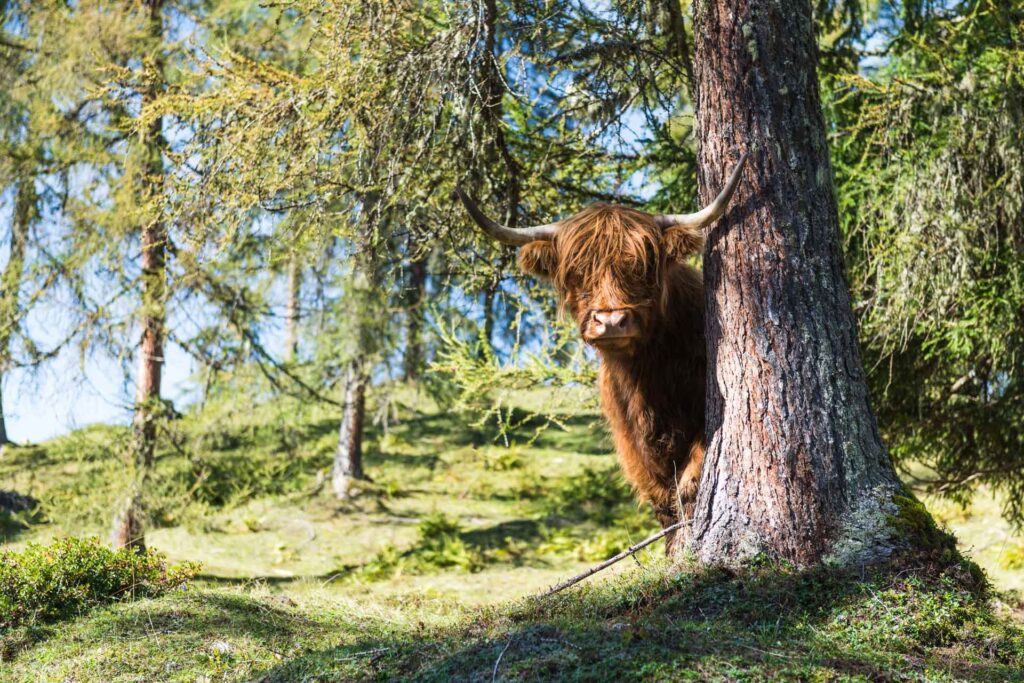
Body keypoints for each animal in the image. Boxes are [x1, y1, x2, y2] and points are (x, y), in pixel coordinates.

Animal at [456, 152, 745, 548]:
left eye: (642, 267)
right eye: (576, 273)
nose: (610, 321)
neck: (650, 380)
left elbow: (688, 486)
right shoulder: (635, 449)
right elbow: (666, 509)